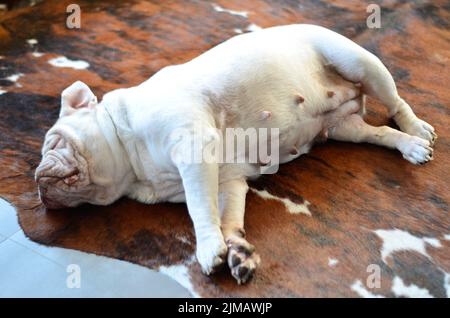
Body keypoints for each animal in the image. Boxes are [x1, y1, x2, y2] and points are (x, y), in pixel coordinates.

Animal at [35, 24, 436, 284]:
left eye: (53, 143)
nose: (37, 182)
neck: (133, 168)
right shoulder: (226, 181)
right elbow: (227, 216)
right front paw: (236, 250)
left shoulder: (193, 151)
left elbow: (199, 209)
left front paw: (207, 247)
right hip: (343, 128)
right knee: (377, 132)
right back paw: (409, 145)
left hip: (358, 62)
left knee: (396, 103)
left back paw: (417, 130)